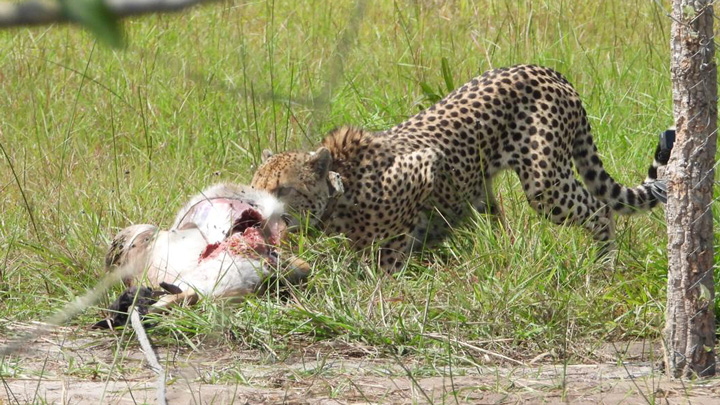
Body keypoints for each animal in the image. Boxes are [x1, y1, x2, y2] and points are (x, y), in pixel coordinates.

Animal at [250, 64, 672, 270]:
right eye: (256, 188)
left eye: (284, 189)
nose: (258, 213)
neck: (341, 192)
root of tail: (545, 69)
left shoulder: (423, 167)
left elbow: (388, 257)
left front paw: (384, 285)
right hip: (487, 188)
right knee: (498, 218)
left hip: (545, 183)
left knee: (600, 210)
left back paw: (604, 266)